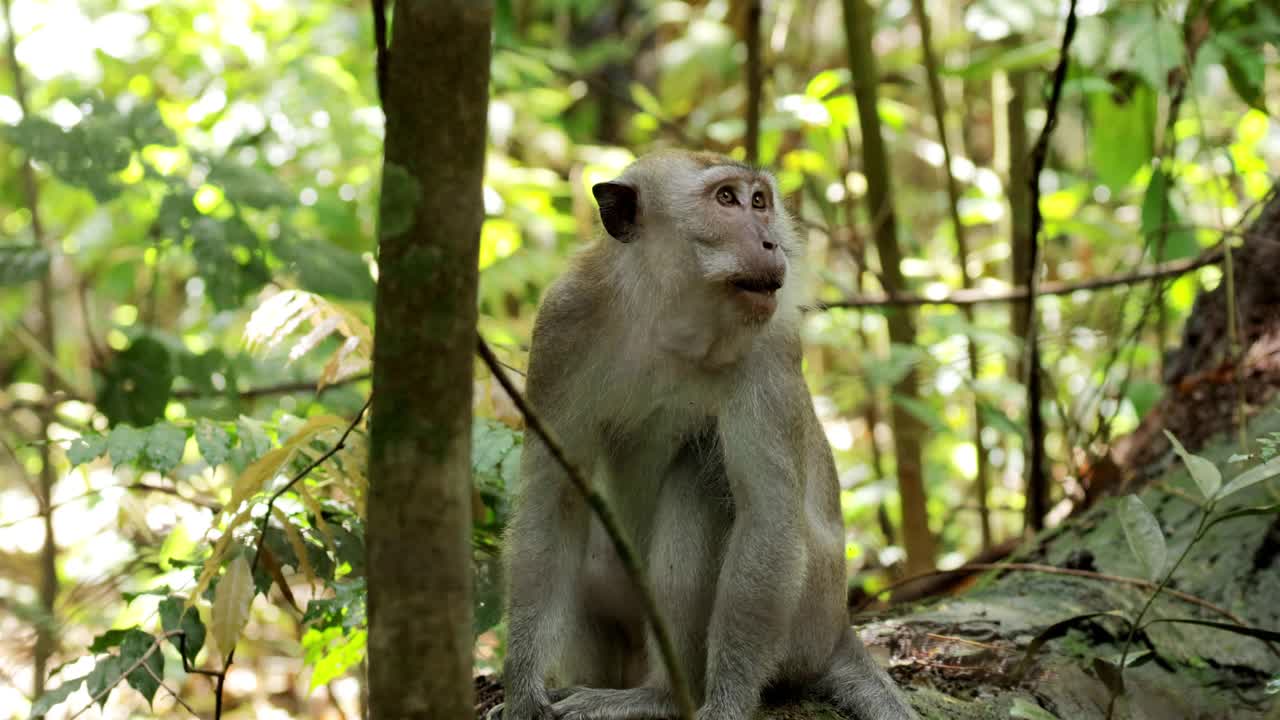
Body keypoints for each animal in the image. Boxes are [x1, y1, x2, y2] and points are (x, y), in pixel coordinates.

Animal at [491, 151, 921, 717]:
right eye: (726, 199)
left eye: (759, 201)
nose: (771, 243)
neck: (668, 322)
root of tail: (839, 628)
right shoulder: (562, 323)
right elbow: (553, 500)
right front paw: (521, 695)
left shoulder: (771, 349)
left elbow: (766, 518)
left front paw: (725, 705)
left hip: (804, 621)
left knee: (702, 468)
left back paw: (662, 697)